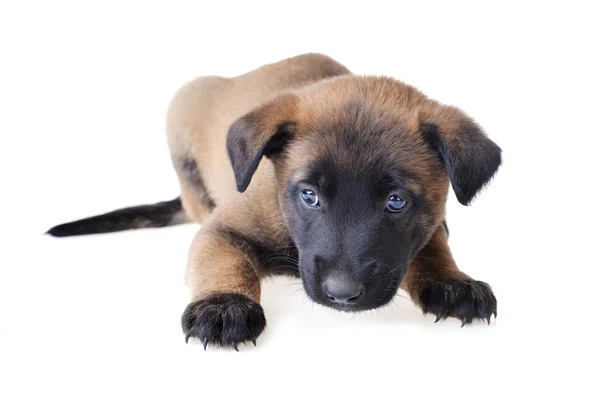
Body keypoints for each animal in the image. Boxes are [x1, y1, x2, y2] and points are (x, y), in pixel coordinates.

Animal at [48, 54, 502, 350]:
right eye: (309, 195)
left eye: (396, 202)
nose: (341, 294)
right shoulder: (222, 229)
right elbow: (222, 260)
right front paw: (223, 304)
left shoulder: (431, 223)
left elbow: (432, 248)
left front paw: (451, 280)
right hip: (182, 114)